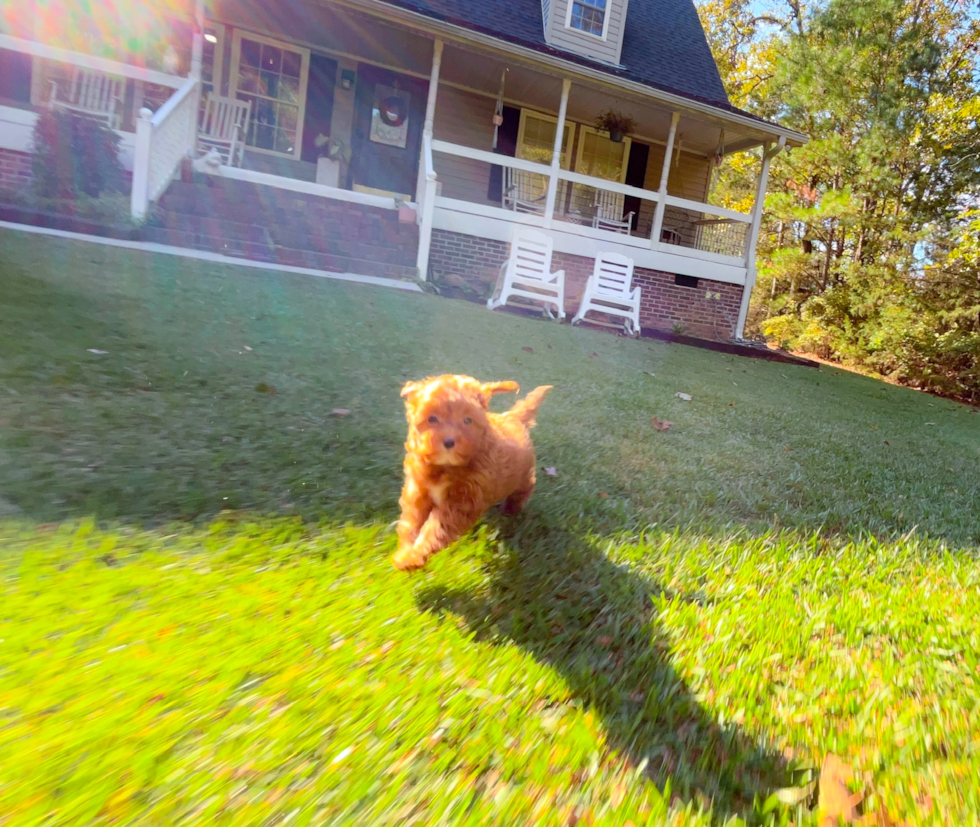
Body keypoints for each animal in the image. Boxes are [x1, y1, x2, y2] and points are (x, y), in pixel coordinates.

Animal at [392, 374, 552, 572]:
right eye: (432, 418)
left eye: (467, 420)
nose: (449, 442)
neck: (446, 467)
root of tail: (512, 418)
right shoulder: (418, 491)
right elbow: (410, 523)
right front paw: (406, 553)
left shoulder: (461, 503)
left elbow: (435, 529)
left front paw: (415, 554)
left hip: (523, 475)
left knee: (524, 488)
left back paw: (511, 509)